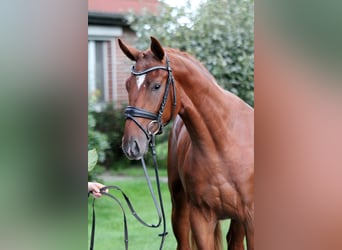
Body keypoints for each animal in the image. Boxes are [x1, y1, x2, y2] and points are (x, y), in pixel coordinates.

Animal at [119, 37, 252, 250]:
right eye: (127, 85)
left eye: (156, 86)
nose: (131, 145)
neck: (223, 145)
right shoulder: (201, 218)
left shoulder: (250, 218)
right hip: (180, 209)